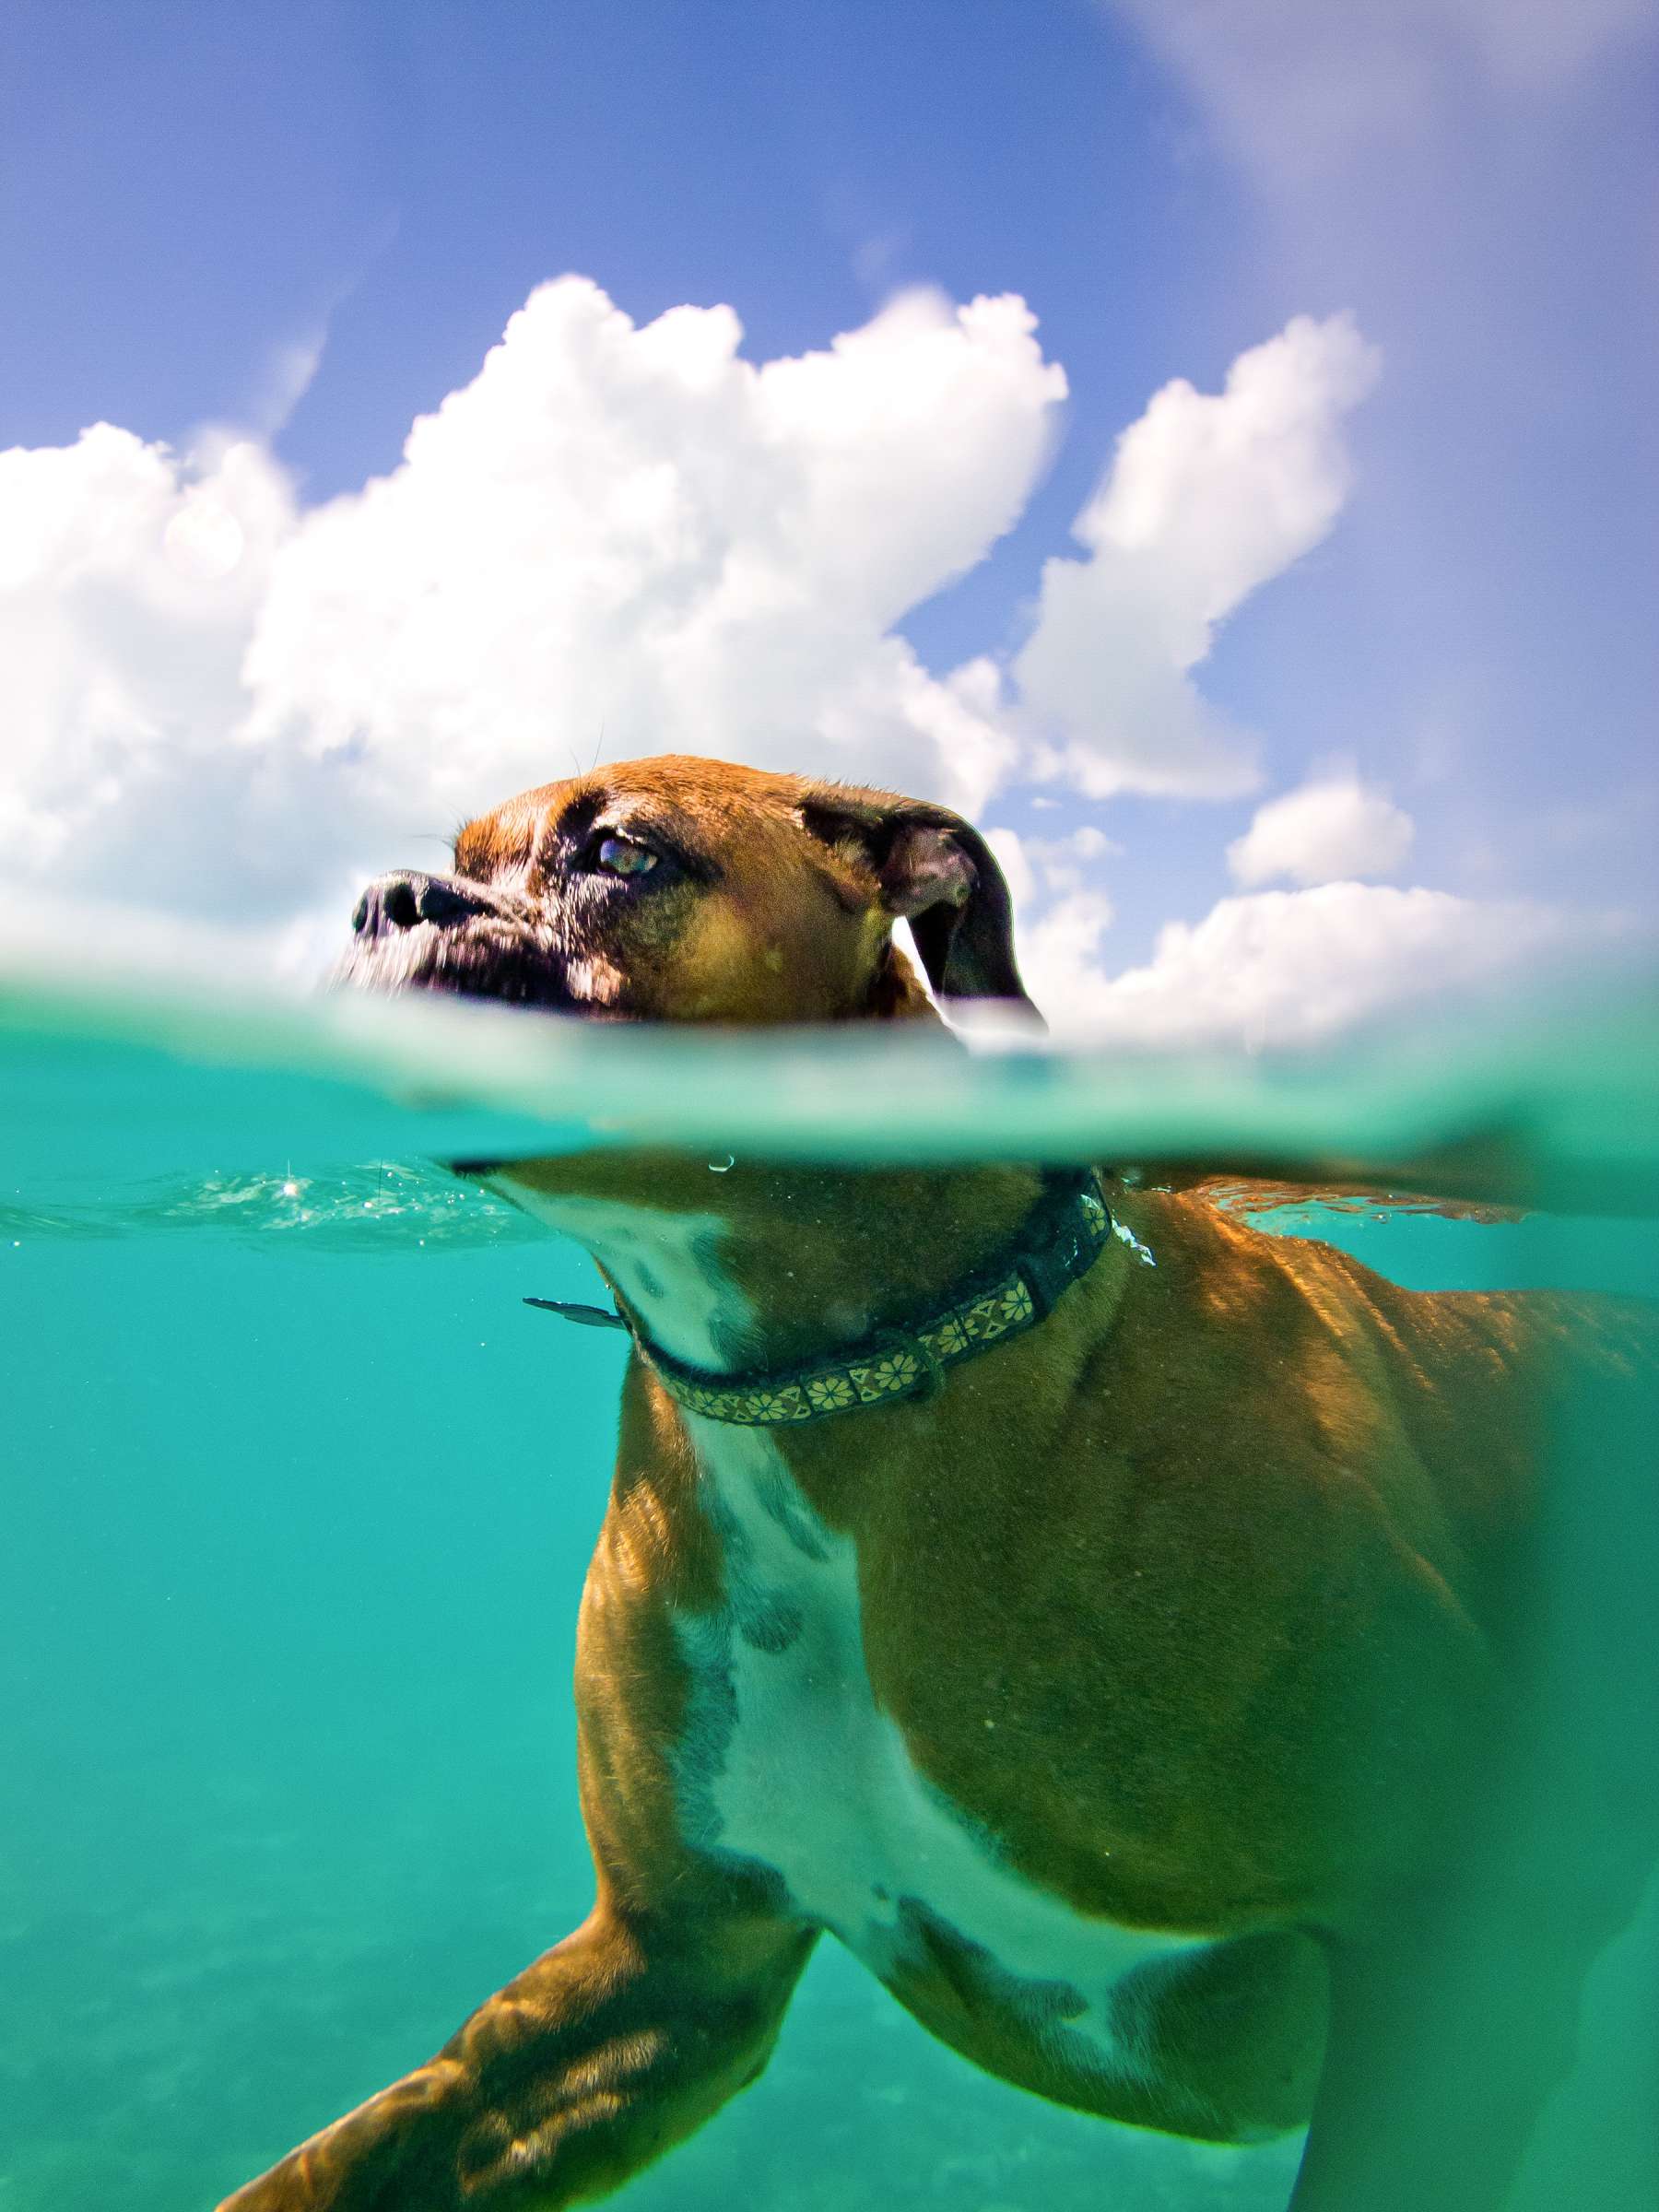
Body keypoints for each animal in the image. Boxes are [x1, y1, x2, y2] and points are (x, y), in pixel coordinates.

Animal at [224, 756, 1659, 2212]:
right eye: (459, 856)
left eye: (622, 854)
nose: (384, 897)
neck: (840, 1398)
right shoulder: (664, 1978)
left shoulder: (1469, 1943)